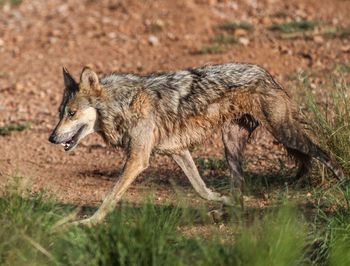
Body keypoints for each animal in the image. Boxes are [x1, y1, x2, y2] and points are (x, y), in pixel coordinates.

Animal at [48, 63, 344, 225]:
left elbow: (109, 197)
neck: (123, 104)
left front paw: (89, 222)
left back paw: (344, 184)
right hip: (231, 145)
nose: (51, 137)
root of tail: (266, 73)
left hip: (286, 134)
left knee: (326, 154)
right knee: (239, 188)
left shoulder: (138, 159)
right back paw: (226, 211)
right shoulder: (178, 151)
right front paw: (220, 199)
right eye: (60, 112)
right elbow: (201, 189)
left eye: (71, 114)